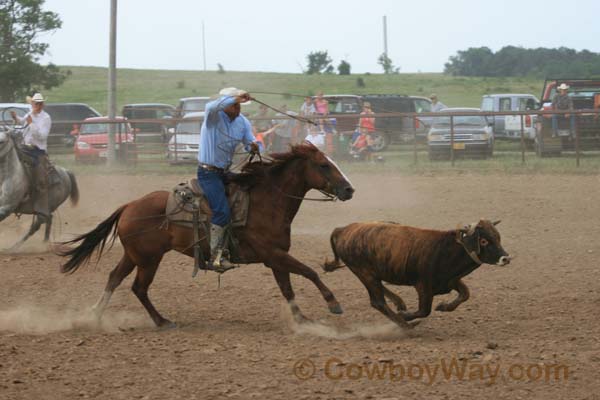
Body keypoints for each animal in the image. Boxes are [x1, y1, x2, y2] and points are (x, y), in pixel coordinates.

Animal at [58, 144, 354, 328]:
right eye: (323, 165)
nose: (349, 189)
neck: (266, 202)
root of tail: (129, 205)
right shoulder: (274, 255)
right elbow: (309, 272)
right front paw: (334, 304)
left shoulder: (276, 258)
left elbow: (288, 288)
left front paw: (302, 320)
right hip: (149, 259)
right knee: (138, 287)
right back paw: (162, 321)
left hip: (133, 255)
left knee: (114, 279)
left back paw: (94, 317)